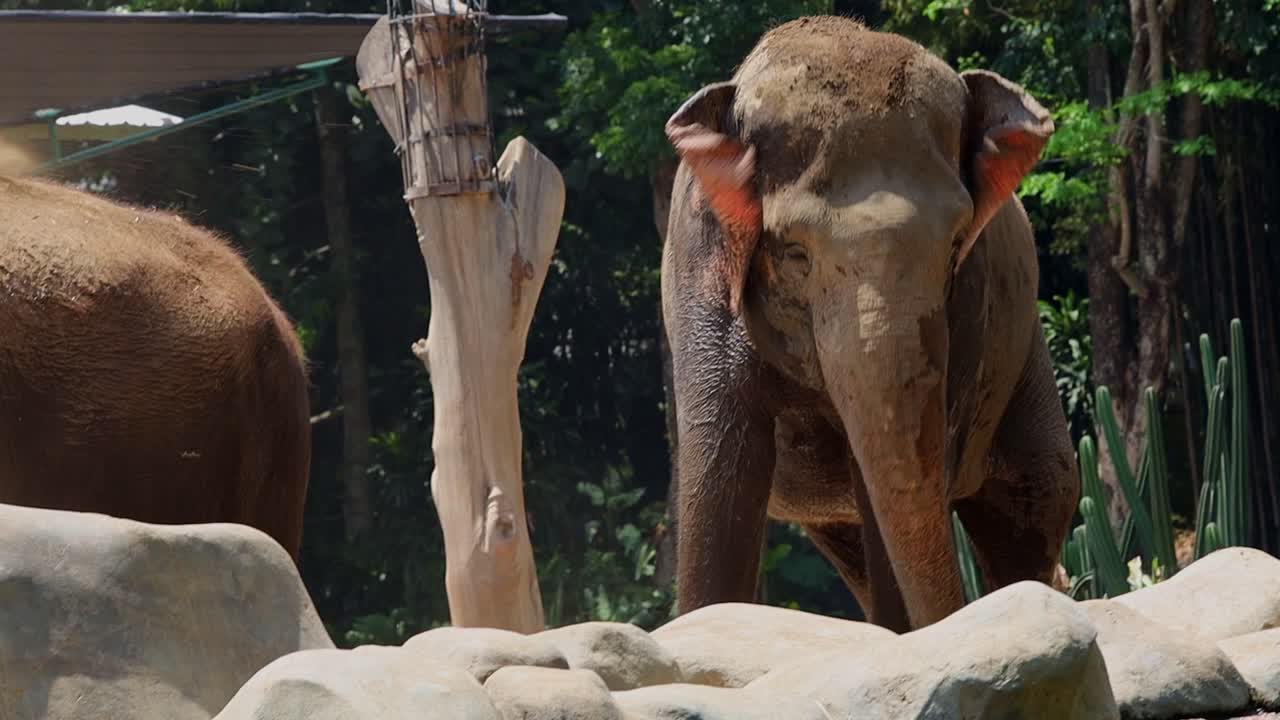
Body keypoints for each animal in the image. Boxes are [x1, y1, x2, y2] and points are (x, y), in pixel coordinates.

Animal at [661, 16, 1079, 631]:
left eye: (955, 244)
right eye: (794, 253)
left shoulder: (970, 310)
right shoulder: (699, 271)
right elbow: (719, 475)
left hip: (1025, 352)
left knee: (1036, 501)